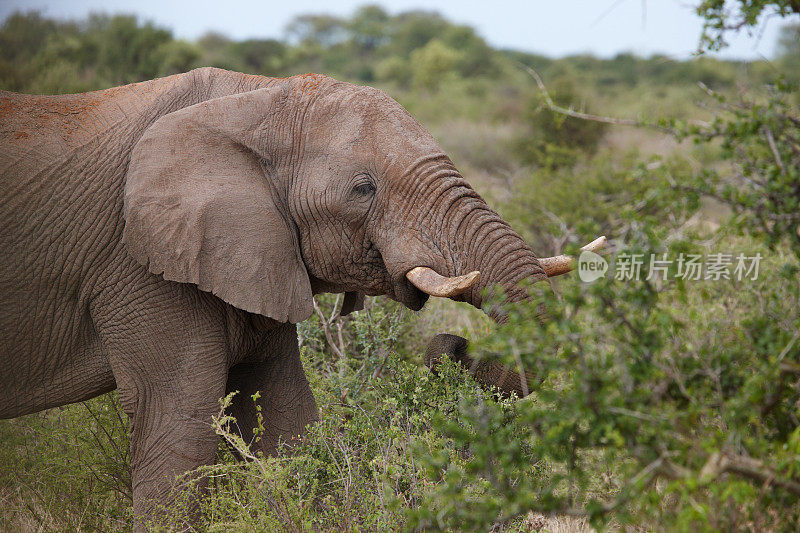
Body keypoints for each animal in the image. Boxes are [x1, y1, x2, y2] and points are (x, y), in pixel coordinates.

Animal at [0, 67, 600, 528]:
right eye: (364, 188)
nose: (451, 346)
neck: (257, 99)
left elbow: (287, 422)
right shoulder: (141, 266)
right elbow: (181, 424)